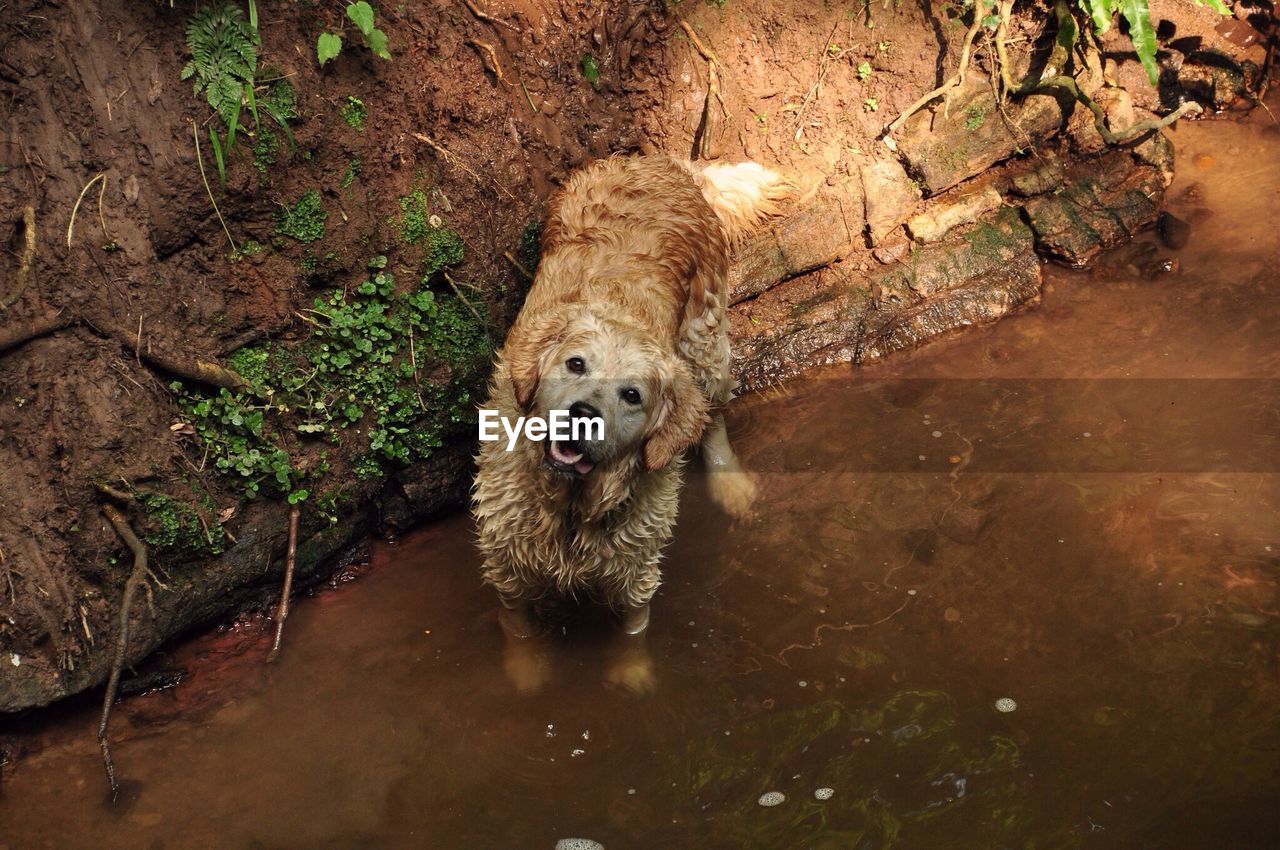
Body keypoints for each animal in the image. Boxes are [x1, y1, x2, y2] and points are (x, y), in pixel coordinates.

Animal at [473, 154, 788, 691]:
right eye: (576, 364)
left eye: (632, 395)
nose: (583, 415)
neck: (571, 508)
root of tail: (666, 164)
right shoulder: (506, 560)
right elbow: (519, 628)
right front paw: (528, 675)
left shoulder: (635, 566)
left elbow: (632, 629)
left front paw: (631, 676)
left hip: (704, 341)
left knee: (712, 415)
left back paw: (731, 485)